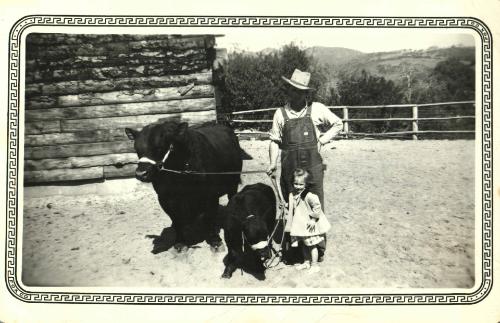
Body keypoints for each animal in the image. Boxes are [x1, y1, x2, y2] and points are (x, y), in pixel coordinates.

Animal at [125, 122, 242, 253]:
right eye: (137, 149)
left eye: (159, 147)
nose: (141, 174)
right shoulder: (165, 198)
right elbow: (176, 220)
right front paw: (180, 242)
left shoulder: (210, 195)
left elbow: (209, 217)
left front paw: (215, 241)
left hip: (234, 182)